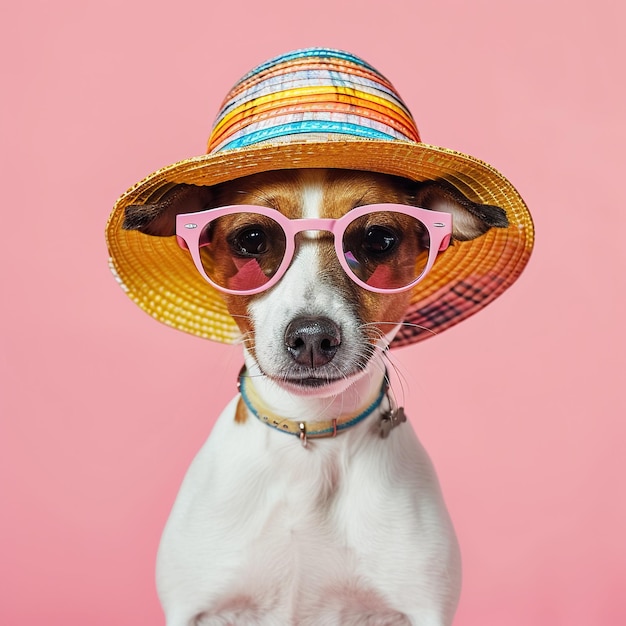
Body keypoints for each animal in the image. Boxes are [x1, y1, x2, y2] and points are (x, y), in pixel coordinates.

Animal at [123, 167, 508, 624]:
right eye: (252, 238)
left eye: (377, 238)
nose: (311, 338)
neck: (311, 431)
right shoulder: (193, 607)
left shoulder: (421, 607)